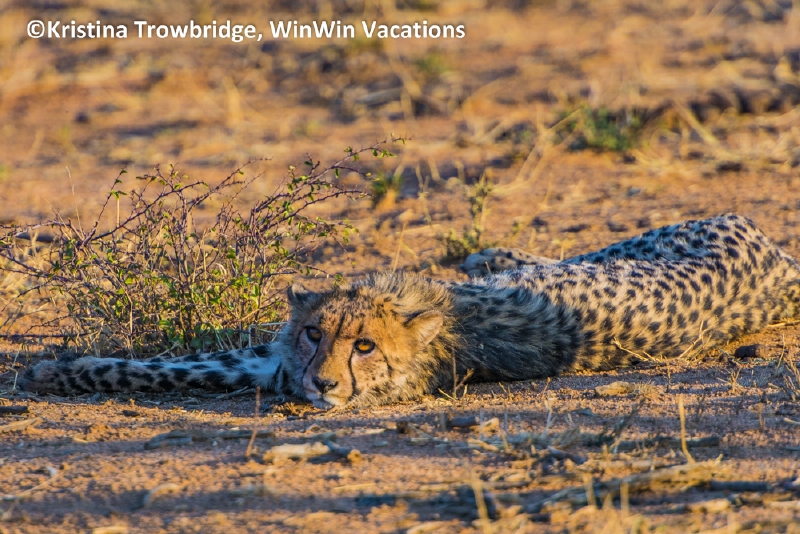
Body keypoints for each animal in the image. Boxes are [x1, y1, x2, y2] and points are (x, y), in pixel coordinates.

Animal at [20, 214, 800, 409]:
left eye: (364, 347)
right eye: (315, 334)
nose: (321, 385)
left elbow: (182, 368)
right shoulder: (270, 361)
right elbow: (164, 366)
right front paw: (59, 372)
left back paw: (490, 252)